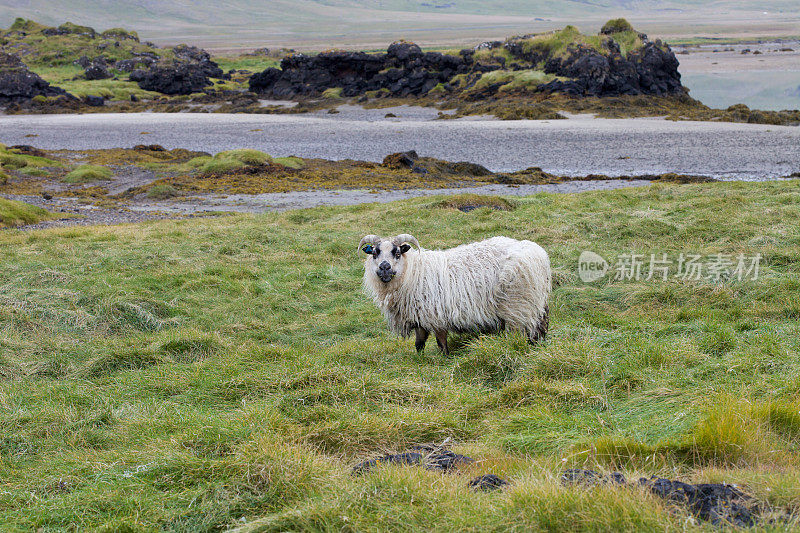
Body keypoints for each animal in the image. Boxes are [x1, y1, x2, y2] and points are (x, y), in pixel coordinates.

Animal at [358, 232, 552, 354]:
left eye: (397, 253)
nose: (384, 267)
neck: (412, 272)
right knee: (541, 326)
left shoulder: (436, 316)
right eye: (374, 253)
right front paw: (419, 359)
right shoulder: (419, 316)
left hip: (518, 305)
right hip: (536, 302)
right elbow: (419, 343)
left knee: (519, 332)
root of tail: (539, 254)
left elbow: (441, 342)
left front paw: (444, 358)